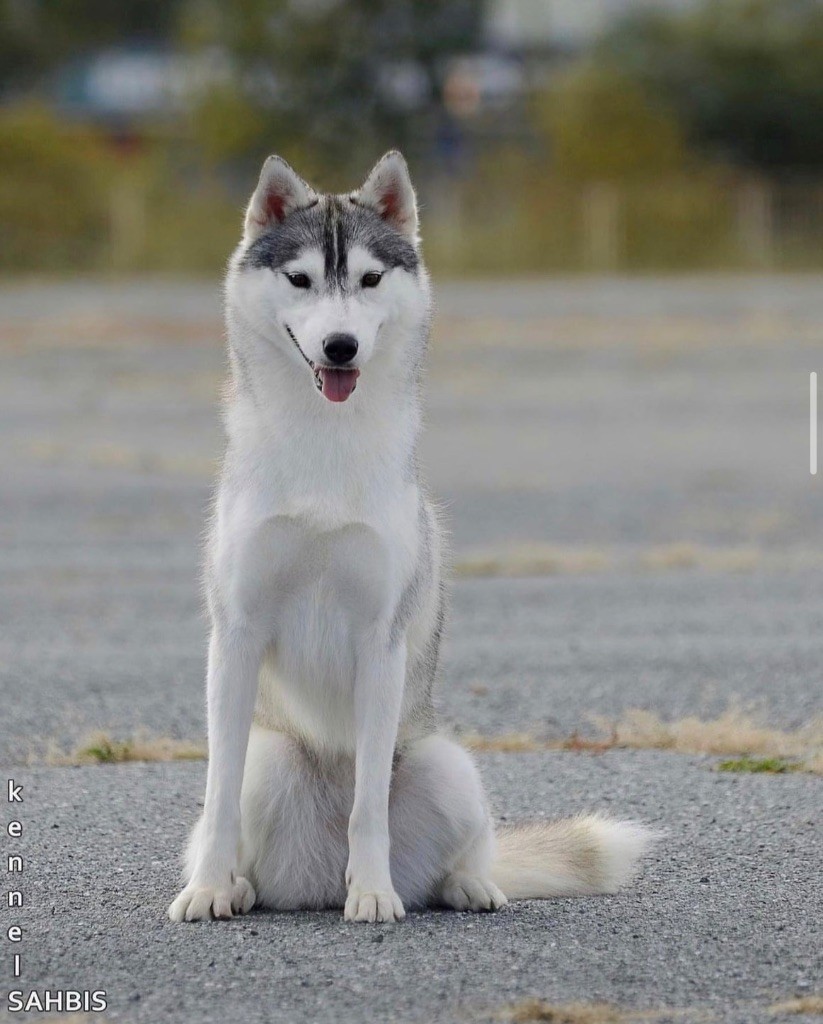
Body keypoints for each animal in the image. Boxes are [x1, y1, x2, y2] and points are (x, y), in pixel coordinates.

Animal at [168, 151, 655, 929]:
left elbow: (369, 805)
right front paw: (209, 888)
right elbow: (216, 799)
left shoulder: (380, 642)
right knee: (243, 821)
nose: (340, 346)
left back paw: (463, 885)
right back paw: (239, 887)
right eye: (300, 279)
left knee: (454, 852)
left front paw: (371, 892)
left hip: (446, 764)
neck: (324, 444)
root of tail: (315, 876)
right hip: (269, 760)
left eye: (369, 280)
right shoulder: (235, 635)